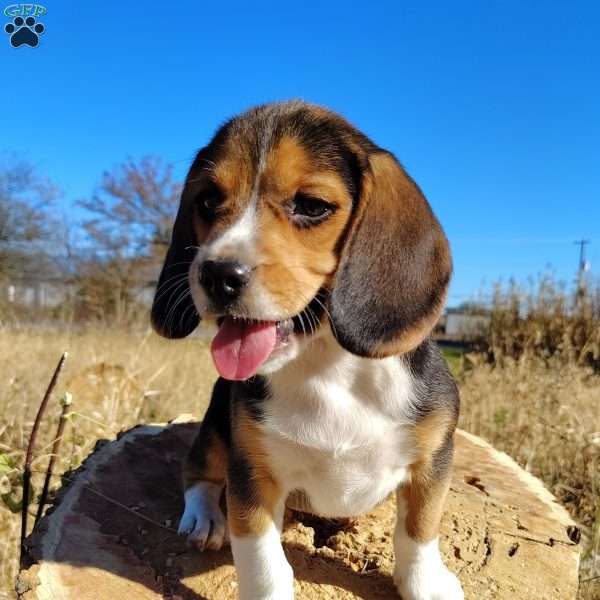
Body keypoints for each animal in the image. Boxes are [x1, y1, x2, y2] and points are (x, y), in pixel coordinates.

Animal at [152, 102, 462, 600]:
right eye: (207, 201)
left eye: (312, 206)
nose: (216, 275)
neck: (326, 367)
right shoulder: (251, 475)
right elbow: (263, 563)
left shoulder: (434, 459)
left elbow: (419, 528)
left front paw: (426, 584)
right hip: (217, 424)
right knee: (197, 470)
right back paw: (203, 517)